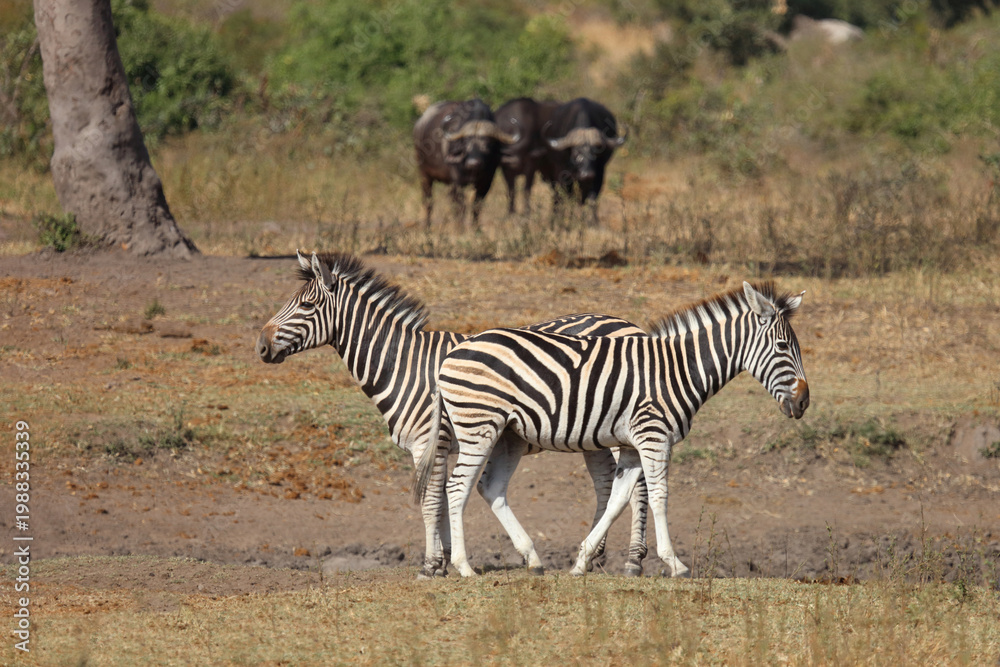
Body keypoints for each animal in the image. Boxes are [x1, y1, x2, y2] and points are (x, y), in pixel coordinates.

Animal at [256, 251, 651, 578]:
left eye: (307, 305)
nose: (260, 346)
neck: (404, 365)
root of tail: (630, 325)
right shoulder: (439, 446)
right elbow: (443, 500)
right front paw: (445, 559)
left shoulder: (429, 442)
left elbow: (432, 502)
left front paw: (431, 565)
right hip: (594, 434)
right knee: (606, 484)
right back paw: (595, 556)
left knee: (637, 488)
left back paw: (633, 561)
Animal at [415, 281, 809, 578]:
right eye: (782, 346)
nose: (805, 402)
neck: (678, 369)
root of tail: (451, 355)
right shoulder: (653, 436)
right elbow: (660, 496)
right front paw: (674, 563)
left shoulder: (633, 445)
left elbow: (618, 499)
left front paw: (582, 560)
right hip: (479, 426)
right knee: (456, 487)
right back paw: (464, 566)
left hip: (508, 434)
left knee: (492, 487)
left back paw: (532, 559)